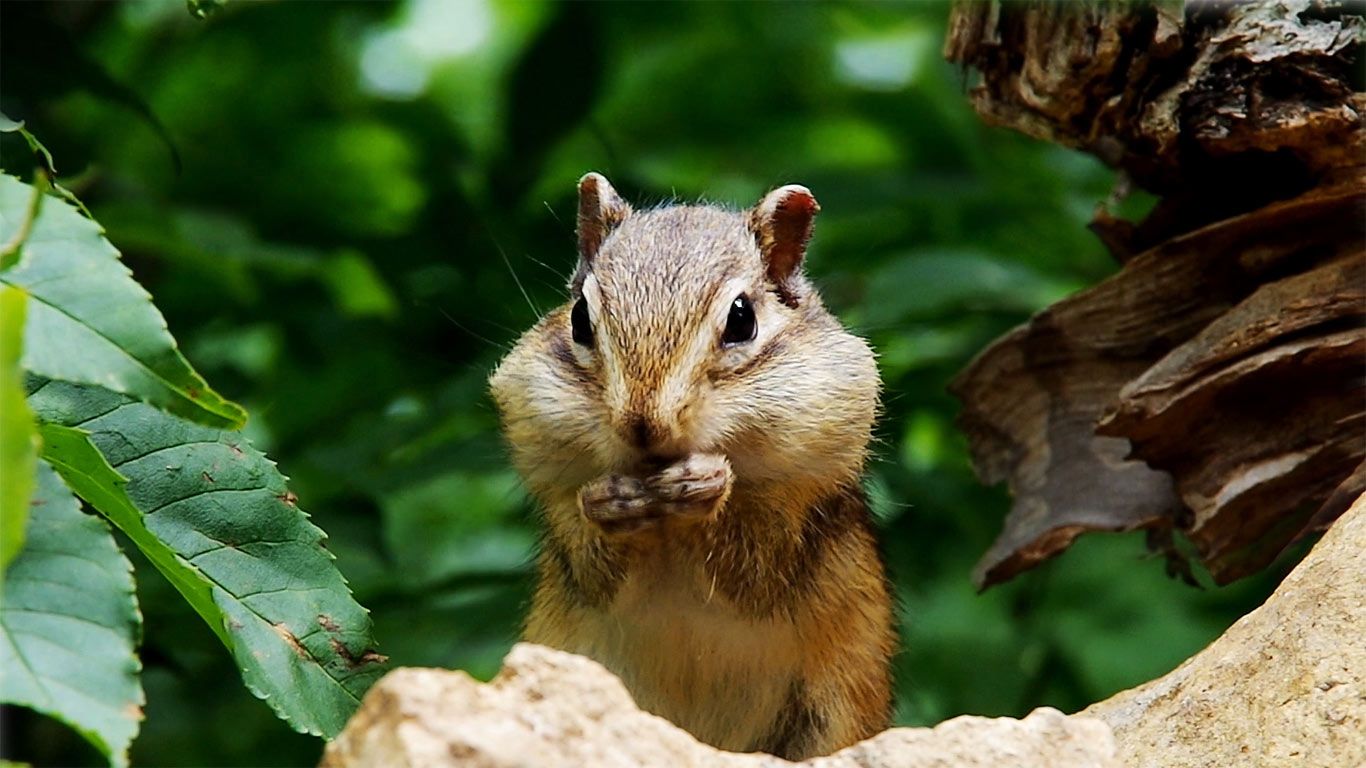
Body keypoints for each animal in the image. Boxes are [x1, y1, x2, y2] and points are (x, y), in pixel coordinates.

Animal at [489, 173, 895, 761]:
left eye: (742, 319)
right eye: (580, 319)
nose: (644, 425)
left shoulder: (801, 498)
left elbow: (757, 569)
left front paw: (708, 483)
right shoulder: (555, 486)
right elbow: (591, 566)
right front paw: (609, 501)